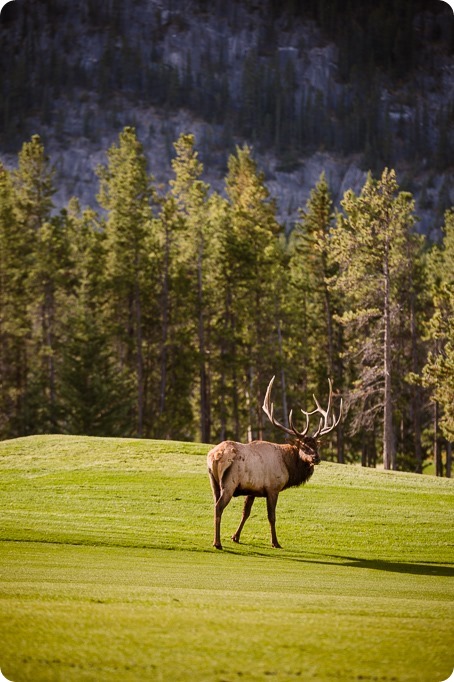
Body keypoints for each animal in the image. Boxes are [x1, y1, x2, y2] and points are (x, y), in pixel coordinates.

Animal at [207, 374, 342, 548]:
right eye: (303, 446)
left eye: (316, 445)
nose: (316, 458)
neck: (288, 466)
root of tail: (215, 456)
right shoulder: (273, 488)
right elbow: (272, 516)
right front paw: (275, 542)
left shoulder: (252, 490)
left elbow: (246, 513)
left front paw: (235, 537)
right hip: (229, 483)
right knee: (219, 507)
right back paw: (217, 543)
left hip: (213, 481)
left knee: (215, 504)